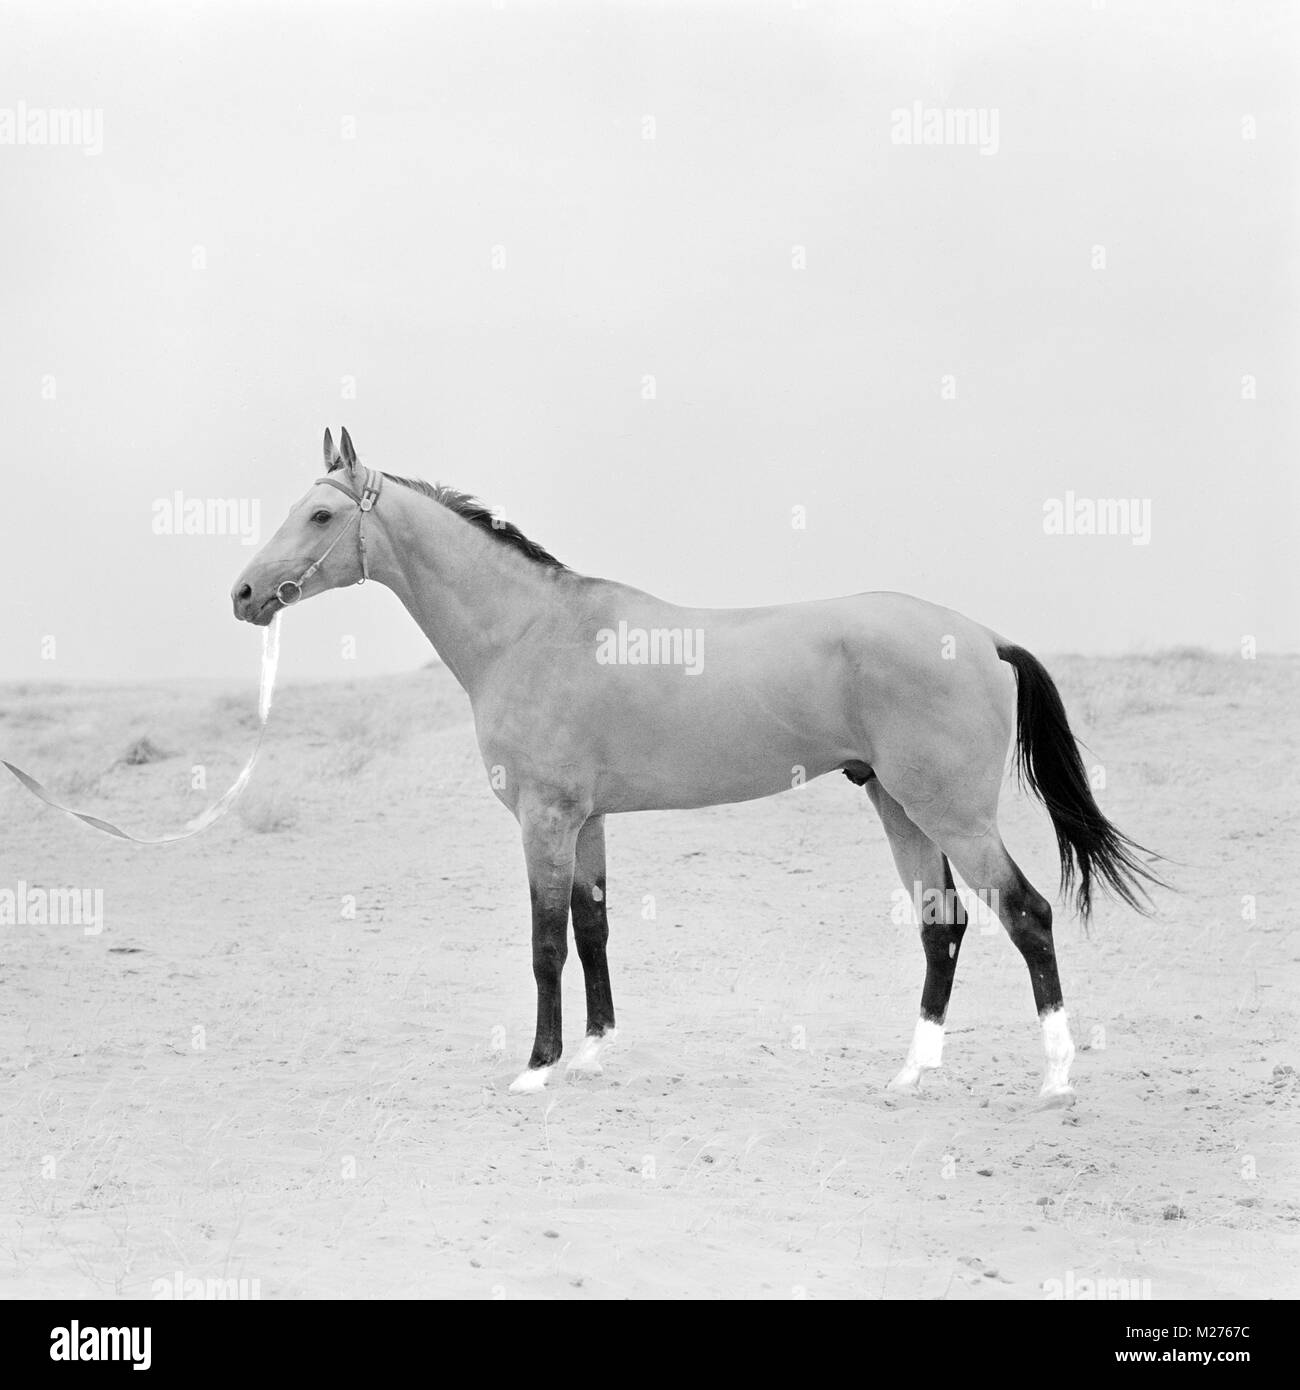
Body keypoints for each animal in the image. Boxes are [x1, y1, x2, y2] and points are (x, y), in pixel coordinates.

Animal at [232, 428, 1164, 1100]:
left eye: (319, 517)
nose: (242, 595)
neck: (529, 632)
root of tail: (980, 635)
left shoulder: (545, 820)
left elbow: (545, 943)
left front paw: (537, 1067)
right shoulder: (587, 821)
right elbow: (594, 929)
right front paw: (594, 1054)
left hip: (954, 816)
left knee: (1026, 916)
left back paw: (1055, 1078)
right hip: (900, 808)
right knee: (945, 927)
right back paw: (911, 1073)